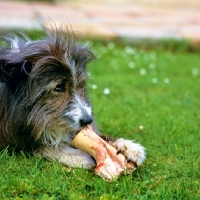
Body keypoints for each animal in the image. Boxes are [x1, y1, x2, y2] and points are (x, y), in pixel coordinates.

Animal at [0, 26, 145, 170]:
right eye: (59, 86)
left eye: (80, 84)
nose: (88, 120)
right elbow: (40, 146)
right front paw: (77, 156)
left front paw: (128, 146)